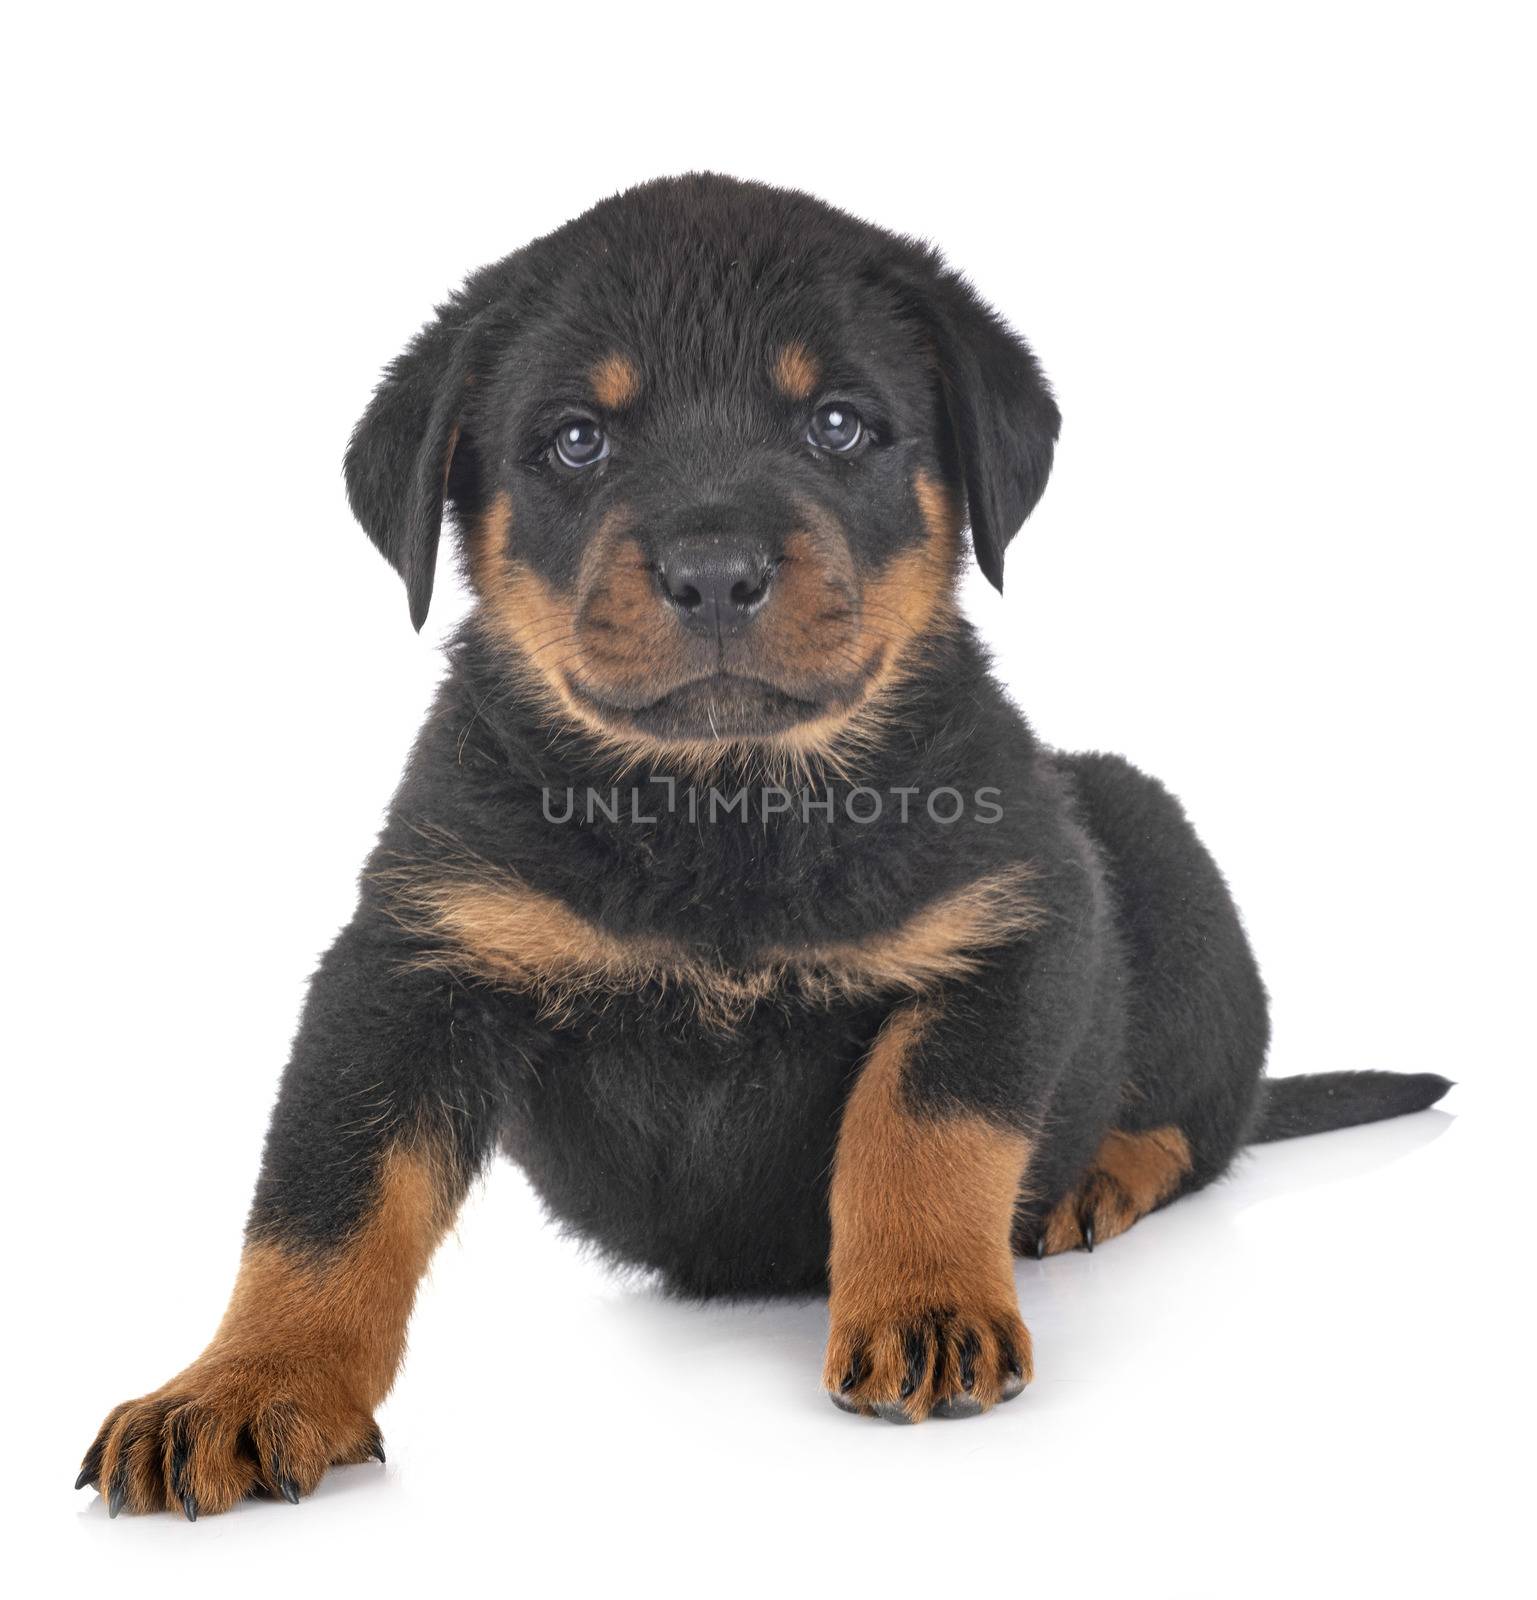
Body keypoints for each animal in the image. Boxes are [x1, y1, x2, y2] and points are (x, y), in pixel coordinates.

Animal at [75, 175, 1452, 1510]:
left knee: (1201, 1118)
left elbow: (919, 1129)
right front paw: (242, 1386)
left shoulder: (1014, 917)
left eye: (836, 424)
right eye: (577, 437)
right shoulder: (412, 961)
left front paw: (926, 1304)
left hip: (1150, 842)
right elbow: (326, 1198)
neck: (723, 814)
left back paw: (1088, 1180)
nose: (715, 569)